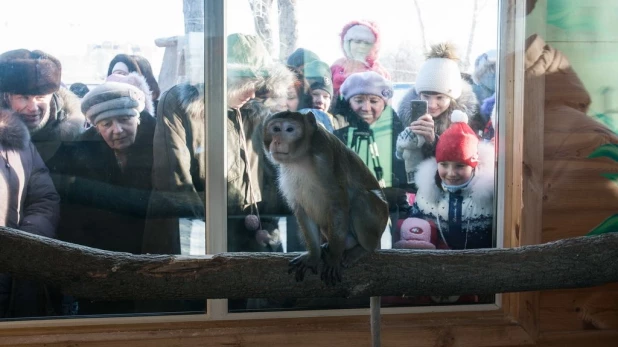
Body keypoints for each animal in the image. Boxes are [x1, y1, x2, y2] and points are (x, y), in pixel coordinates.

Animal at [262, 111, 388, 286]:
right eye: (275, 129)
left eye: (289, 129)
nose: (277, 141)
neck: (302, 157)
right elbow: (302, 210)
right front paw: (313, 256)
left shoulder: (325, 156)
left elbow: (337, 205)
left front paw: (334, 258)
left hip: (379, 222)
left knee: (361, 200)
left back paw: (362, 249)